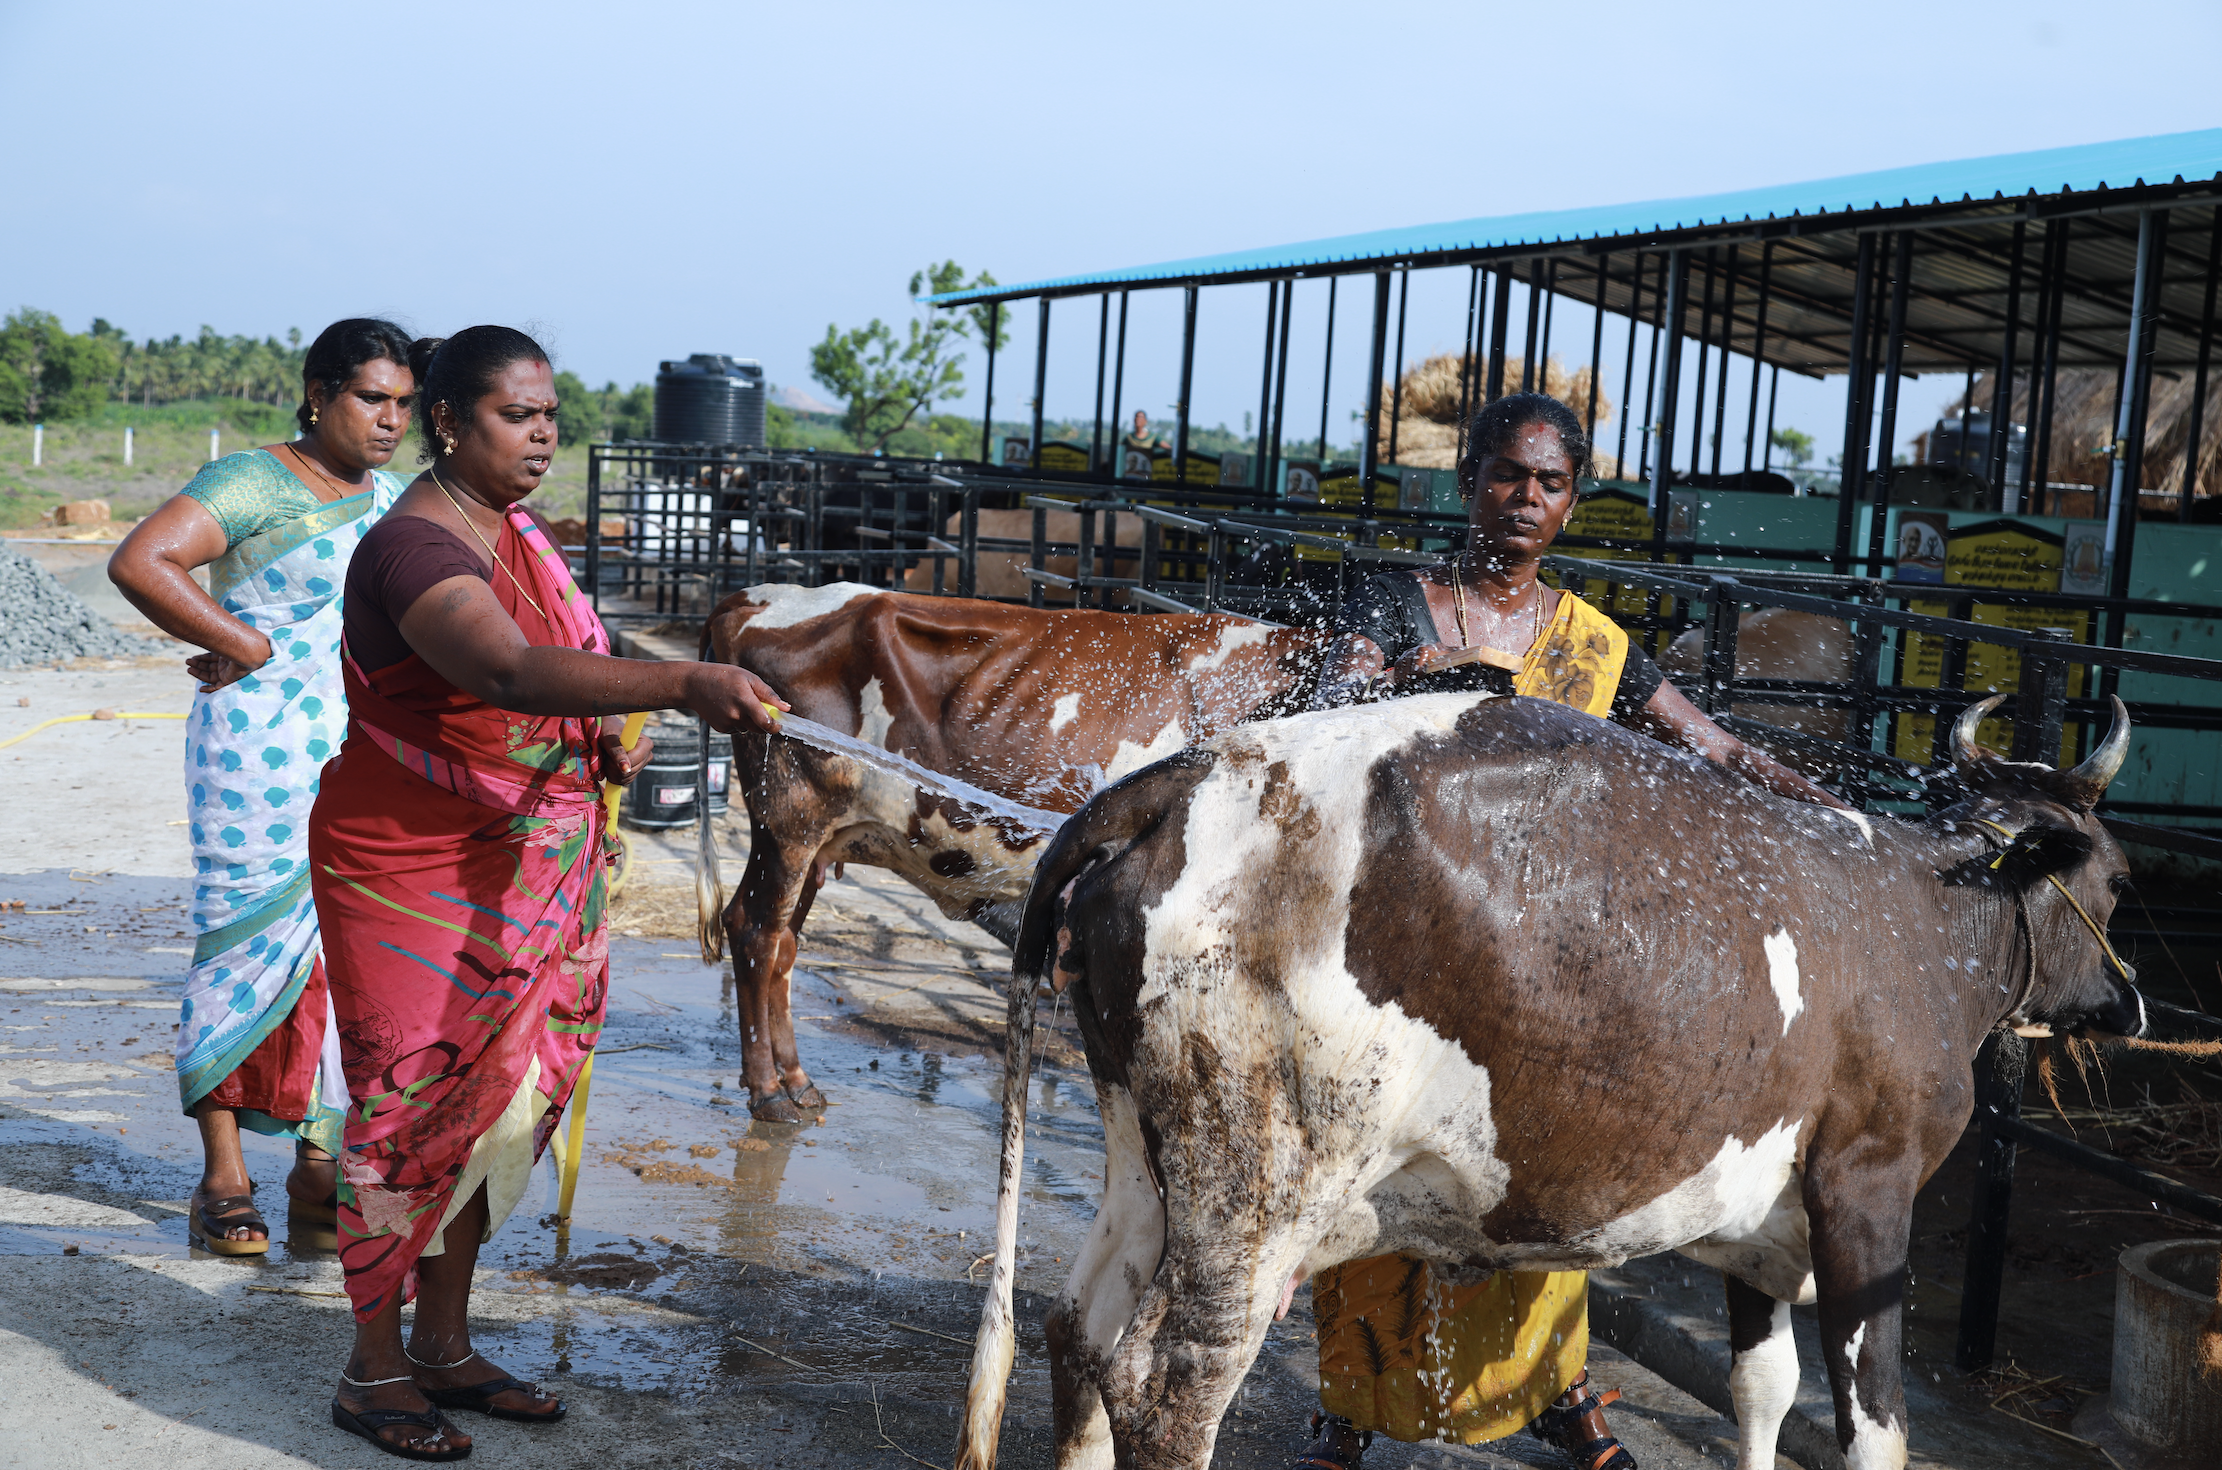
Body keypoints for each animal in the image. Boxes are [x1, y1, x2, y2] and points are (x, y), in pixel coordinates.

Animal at [697, 581, 1315, 1123]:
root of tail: (754, 597)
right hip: (788, 821)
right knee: (754, 931)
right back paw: (769, 1092)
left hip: (819, 842)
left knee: (782, 944)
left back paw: (798, 1083)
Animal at [964, 692, 2142, 1470]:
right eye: (2121, 882)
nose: (2127, 1006)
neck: (1929, 925)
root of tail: (1193, 773)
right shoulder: (1866, 1190)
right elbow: (1874, 1428)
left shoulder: (1758, 1216)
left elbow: (1760, 1390)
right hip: (1255, 1189)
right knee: (1168, 1390)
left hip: (1146, 1157)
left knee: (1078, 1331)